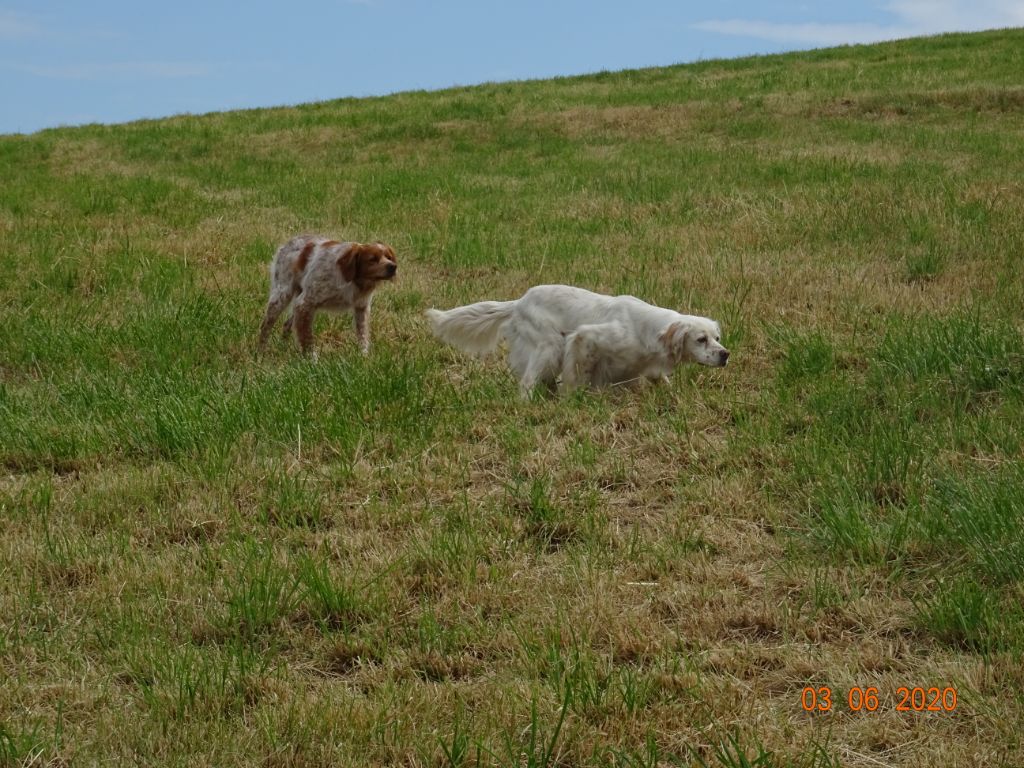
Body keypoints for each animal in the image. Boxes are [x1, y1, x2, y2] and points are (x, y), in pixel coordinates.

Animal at [258, 236, 397, 356]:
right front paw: (312, 361)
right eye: (372, 259)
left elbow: (363, 336)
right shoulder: (305, 303)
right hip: (281, 295)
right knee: (265, 327)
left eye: (389, 257)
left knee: (287, 324)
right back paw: (260, 353)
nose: (393, 267)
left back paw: (284, 347)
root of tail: (288, 243)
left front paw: (364, 357)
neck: (354, 281)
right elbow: (307, 339)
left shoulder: (361, 308)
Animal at [423, 286, 729, 399]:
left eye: (717, 338)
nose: (725, 354)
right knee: (527, 382)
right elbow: (575, 377)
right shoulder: (584, 339)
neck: (647, 329)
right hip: (549, 347)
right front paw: (572, 400)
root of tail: (519, 301)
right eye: (701, 339)